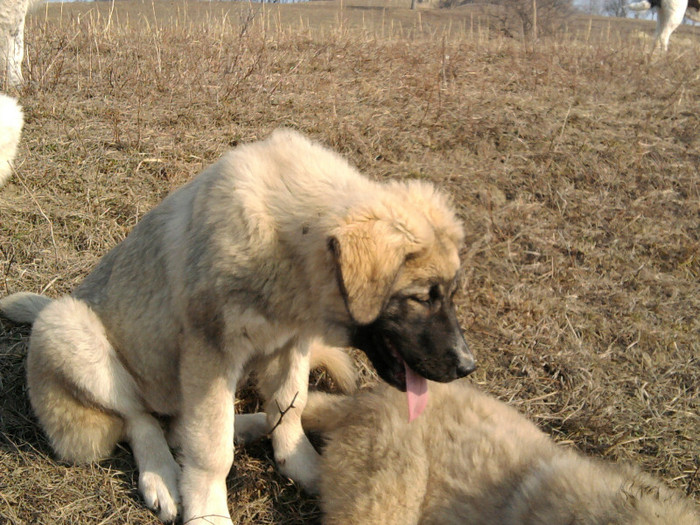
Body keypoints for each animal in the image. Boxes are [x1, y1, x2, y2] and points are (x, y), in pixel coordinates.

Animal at [0, 129, 476, 520]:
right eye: (421, 297)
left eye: (451, 294)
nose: (467, 367)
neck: (287, 251)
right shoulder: (211, 353)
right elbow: (210, 448)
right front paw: (208, 511)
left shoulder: (291, 343)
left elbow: (291, 405)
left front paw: (304, 466)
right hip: (70, 331)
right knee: (141, 419)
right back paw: (162, 477)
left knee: (182, 424)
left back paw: (249, 425)